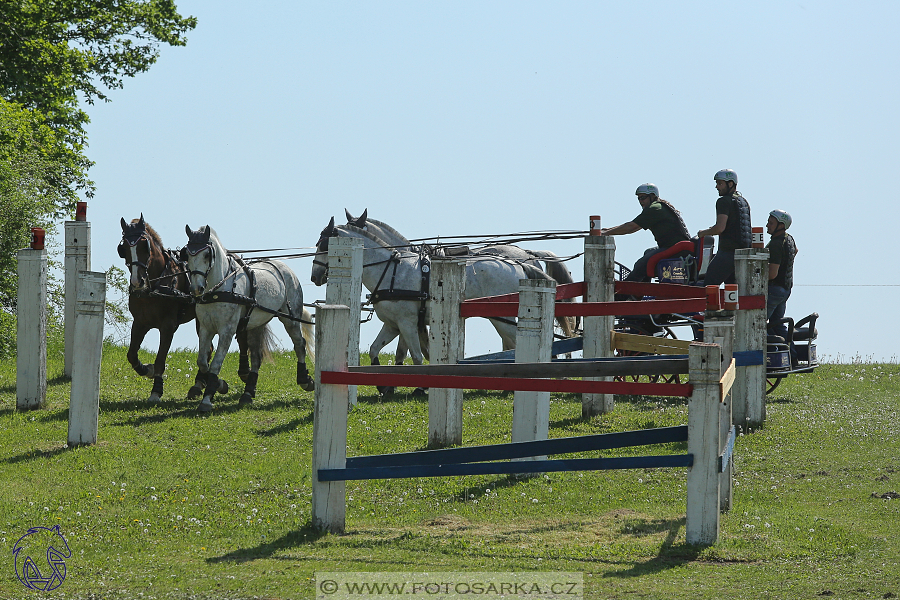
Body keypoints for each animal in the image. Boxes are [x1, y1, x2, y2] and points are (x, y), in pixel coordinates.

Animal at [118, 216, 250, 404]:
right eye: (123, 248)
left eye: (144, 245)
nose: (138, 282)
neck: (157, 284)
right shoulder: (140, 322)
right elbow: (131, 355)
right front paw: (148, 370)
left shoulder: (168, 325)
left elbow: (160, 359)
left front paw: (156, 391)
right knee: (209, 349)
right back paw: (199, 384)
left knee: (242, 338)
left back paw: (242, 373)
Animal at [181, 225, 314, 412]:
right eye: (187, 254)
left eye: (207, 254)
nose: (196, 288)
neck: (218, 289)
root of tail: (284, 267)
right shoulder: (205, 328)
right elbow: (202, 361)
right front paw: (220, 385)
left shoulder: (227, 331)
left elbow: (215, 363)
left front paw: (207, 398)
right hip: (256, 324)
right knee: (256, 357)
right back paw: (248, 393)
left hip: (291, 318)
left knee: (299, 344)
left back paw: (305, 380)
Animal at [312, 218, 560, 392]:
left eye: (324, 245)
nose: (315, 276)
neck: (391, 271)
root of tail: (518, 262)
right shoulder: (393, 324)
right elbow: (376, 349)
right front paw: (384, 385)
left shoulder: (408, 323)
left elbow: (416, 356)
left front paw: (420, 386)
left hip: (503, 318)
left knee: (516, 344)